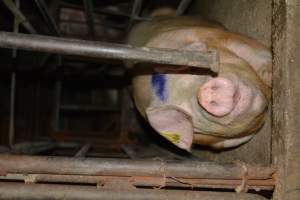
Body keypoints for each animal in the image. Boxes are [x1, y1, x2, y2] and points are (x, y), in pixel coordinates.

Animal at [126, 8, 272, 151]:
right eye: (187, 114)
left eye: (193, 70)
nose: (204, 93)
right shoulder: (217, 143)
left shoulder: (212, 35)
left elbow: (249, 49)